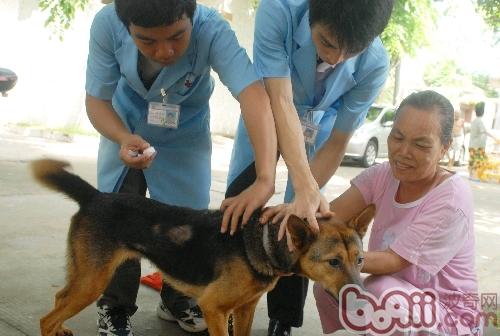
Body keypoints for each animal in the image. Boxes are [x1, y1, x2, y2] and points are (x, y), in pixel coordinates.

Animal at [31, 159, 374, 336]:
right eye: (333, 262)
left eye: (360, 260)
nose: (361, 301)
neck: (261, 242)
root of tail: (95, 195)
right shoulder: (214, 308)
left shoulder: (244, 309)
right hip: (94, 281)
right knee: (47, 318)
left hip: (85, 276)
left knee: (59, 300)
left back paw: (61, 328)